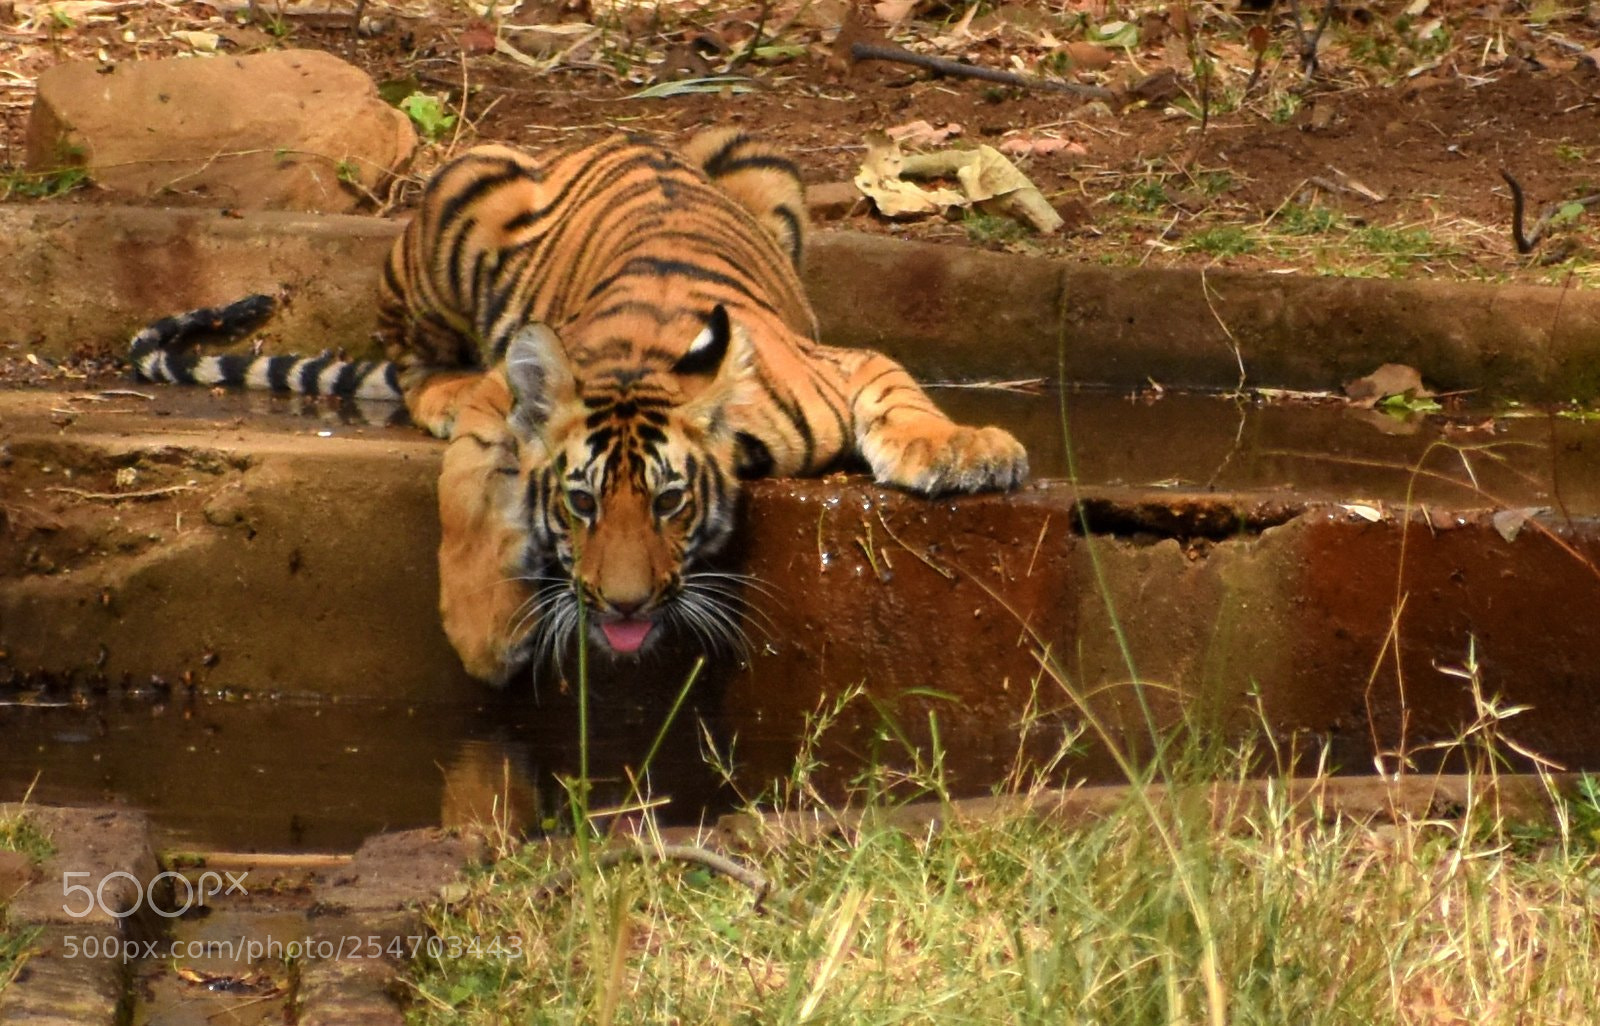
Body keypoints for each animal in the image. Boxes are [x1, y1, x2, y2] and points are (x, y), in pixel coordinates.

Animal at [124, 132, 1024, 685]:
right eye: (581, 503)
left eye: (669, 502)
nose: (624, 606)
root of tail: (615, 137)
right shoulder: (503, 403)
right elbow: (466, 499)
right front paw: (486, 638)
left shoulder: (840, 364)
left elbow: (902, 391)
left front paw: (963, 450)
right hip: (463, 191)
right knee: (410, 358)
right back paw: (440, 388)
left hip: (758, 160)